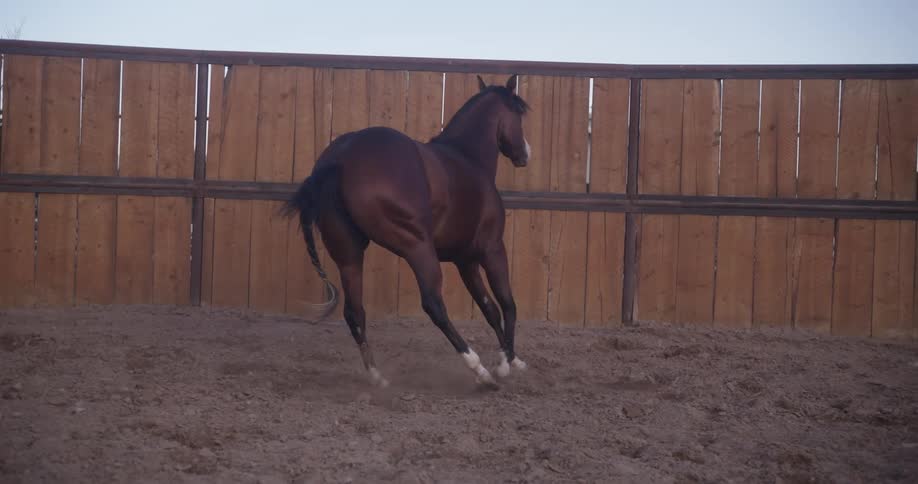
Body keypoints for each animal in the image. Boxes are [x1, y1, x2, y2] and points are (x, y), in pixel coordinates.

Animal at [281, 74, 531, 390]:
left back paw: (378, 378)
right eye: (519, 113)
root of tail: (341, 156)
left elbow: (489, 308)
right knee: (434, 305)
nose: (525, 153)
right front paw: (506, 364)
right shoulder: (492, 250)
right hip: (417, 247)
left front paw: (511, 360)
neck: (467, 158)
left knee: (354, 311)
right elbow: (508, 304)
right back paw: (479, 371)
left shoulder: (465, 261)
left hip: (348, 255)